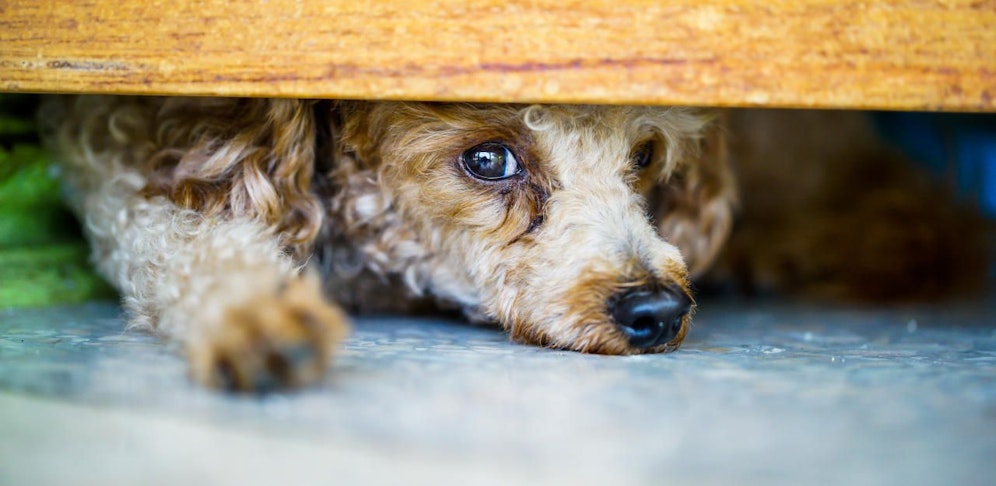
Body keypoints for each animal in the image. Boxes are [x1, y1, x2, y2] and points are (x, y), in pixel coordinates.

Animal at [39, 97, 980, 392]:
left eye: (645, 154)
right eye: (487, 159)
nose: (658, 311)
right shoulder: (121, 178)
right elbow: (183, 244)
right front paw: (256, 318)